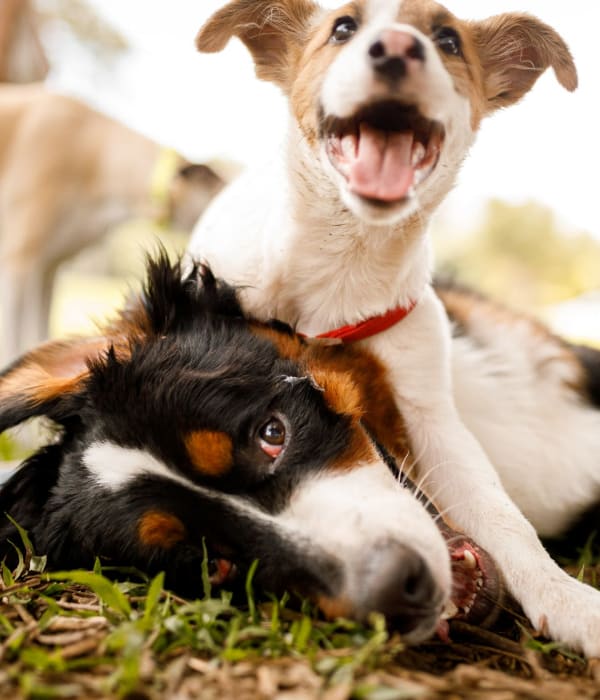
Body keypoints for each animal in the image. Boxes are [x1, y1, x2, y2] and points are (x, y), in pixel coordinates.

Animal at [189, 0, 600, 656]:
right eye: (342, 28)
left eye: (448, 39)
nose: (398, 50)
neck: (343, 262)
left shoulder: (431, 418)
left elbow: (501, 514)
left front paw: (566, 597)